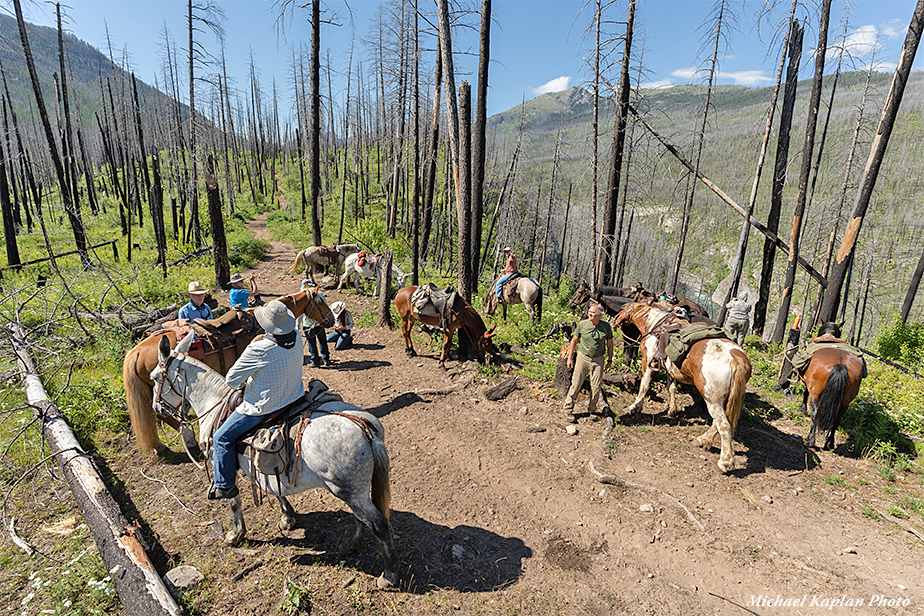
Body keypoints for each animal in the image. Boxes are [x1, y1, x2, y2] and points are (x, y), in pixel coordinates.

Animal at [151, 332, 398, 588]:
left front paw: (236, 535)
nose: (157, 407)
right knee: (361, 519)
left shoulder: (220, 459)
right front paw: (287, 517)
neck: (214, 404)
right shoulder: (263, 467)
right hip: (353, 491)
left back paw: (389, 575)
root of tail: (364, 427)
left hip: (349, 491)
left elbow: (233, 500)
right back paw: (350, 545)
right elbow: (271, 487)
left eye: (155, 377)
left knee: (378, 525)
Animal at [612, 302, 752, 472]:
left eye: (623, 308)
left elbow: (644, 385)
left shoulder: (648, 361)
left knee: (724, 425)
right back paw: (703, 440)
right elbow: (671, 388)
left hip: (712, 399)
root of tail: (735, 359)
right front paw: (672, 410)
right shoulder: (670, 370)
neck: (655, 325)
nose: (614, 320)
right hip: (723, 399)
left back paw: (725, 462)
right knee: (720, 423)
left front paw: (635, 407)